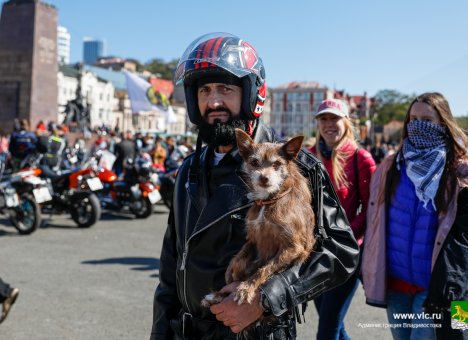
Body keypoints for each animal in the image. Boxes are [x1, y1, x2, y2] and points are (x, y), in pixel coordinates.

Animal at [203, 129, 316, 306]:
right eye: (254, 162)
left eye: (277, 164)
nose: (264, 178)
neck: (269, 200)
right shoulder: (254, 238)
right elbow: (240, 256)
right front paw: (230, 274)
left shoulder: (294, 247)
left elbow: (265, 269)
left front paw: (245, 288)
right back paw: (215, 296)